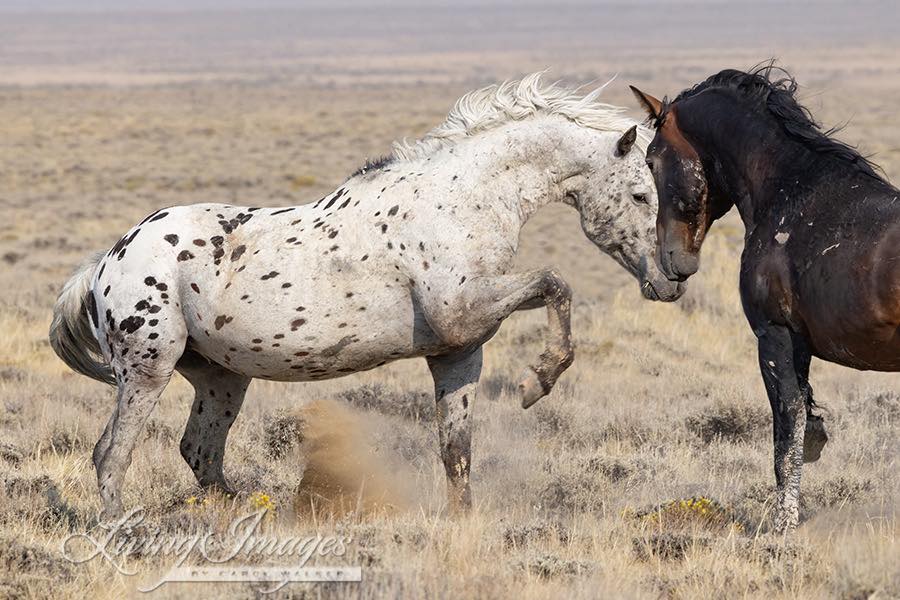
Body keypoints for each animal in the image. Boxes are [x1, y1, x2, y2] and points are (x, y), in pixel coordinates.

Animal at [50, 72, 684, 521]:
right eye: (639, 194)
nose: (672, 279)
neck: (466, 197)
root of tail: (108, 260)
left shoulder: (458, 351)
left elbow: (456, 450)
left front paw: (464, 523)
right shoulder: (463, 313)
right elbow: (556, 281)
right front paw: (538, 381)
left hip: (221, 378)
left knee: (201, 452)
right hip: (148, 369)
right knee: (112, 455)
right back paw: (126, 530)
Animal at [630, 64, 900, 532]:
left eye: (650, 160)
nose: (670, 261)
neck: (793, 194)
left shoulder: (774, 337)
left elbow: (786, 431)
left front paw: (782, 525)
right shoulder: (801, 346)